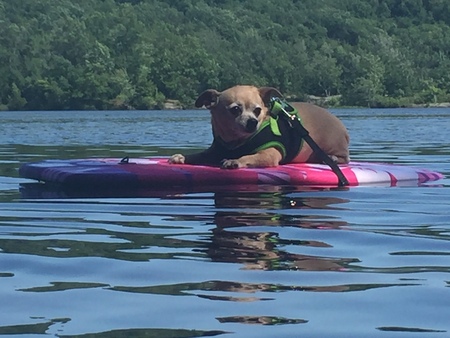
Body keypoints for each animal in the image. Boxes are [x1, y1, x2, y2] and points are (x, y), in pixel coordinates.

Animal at [169, 85, 348, 168]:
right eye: (235, 109)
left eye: (257, 110)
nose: (252, 122)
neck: (235, 143)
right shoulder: (214, 152)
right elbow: (198, 155)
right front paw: (182, 157)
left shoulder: (269, 154)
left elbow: (249, 157)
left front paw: (235, 160)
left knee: (343, 158)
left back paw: (332, 158)